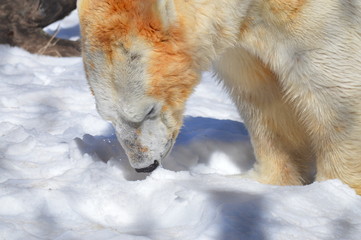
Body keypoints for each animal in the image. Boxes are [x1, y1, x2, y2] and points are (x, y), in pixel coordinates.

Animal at [78, 0, 360, 194]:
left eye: (149, 110)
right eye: (108, 117)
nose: (143, 166)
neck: (257, 4)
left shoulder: (323, 19)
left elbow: (335, 92)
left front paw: (332, 190)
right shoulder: (242, 47)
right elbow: (262, 99)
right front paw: (261, 182)